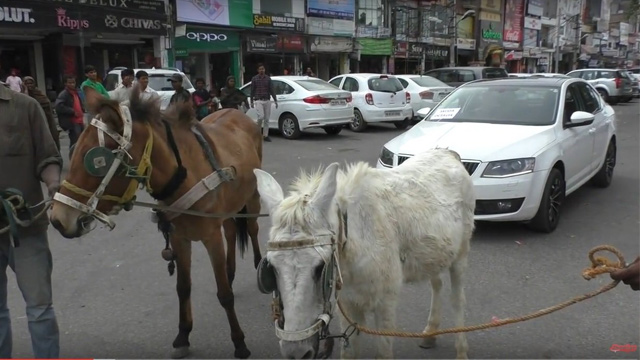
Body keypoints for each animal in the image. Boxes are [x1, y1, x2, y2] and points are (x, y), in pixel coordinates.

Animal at [49, 86, 264, 358]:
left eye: (97, 161)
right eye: (75, 150)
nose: (58, 219)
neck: (185, 175)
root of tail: (237, 112)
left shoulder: (211, 238)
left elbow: (224, 295)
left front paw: (239, 342)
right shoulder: (179, 237)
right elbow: (183, 287)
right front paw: (183, 335)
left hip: (253, 197)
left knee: (253, 229)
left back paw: (258, 265)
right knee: (231, 231)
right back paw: (230, 272)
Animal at [255, 148, 476, 358]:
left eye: (319, 268)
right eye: (271, 268)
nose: (296, 352)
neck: (357, 244)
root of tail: (448, 153)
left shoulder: (385, 305)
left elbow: (383, 353)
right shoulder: (347, 305)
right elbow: (349, 352)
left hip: (461, 254)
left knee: (457, 299)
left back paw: (461, 350)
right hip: (434, 253)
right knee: (436, 284)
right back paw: (430, 333)